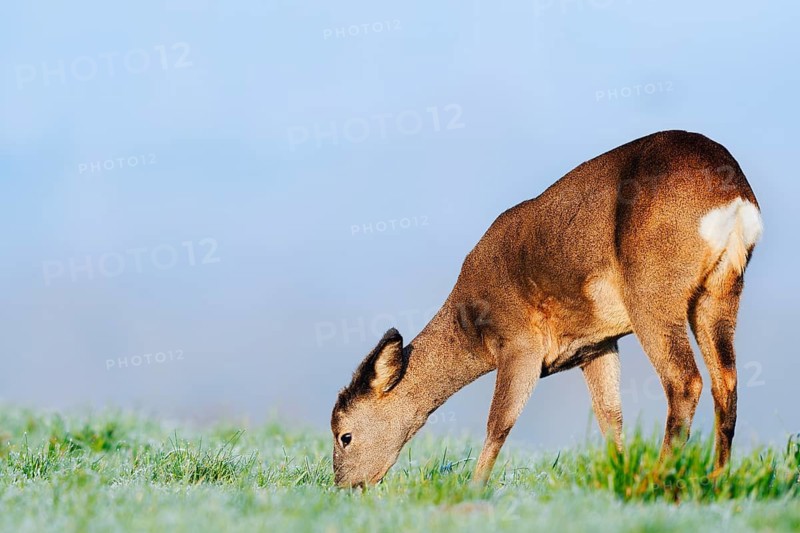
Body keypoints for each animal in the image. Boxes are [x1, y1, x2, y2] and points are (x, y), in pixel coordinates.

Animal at [330, 130, 763, 487]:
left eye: (344, 435)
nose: (345, 487)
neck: (472, 323)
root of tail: (736, 198)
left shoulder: (520, 341)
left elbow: (499, 421)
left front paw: (474, 488)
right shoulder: (597, 345)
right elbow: (610, 417)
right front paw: (617, 471)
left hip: (653, 290)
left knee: (684, 380)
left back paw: (657, 481)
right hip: (721, 292)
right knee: (726, 380)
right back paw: (716, 479)